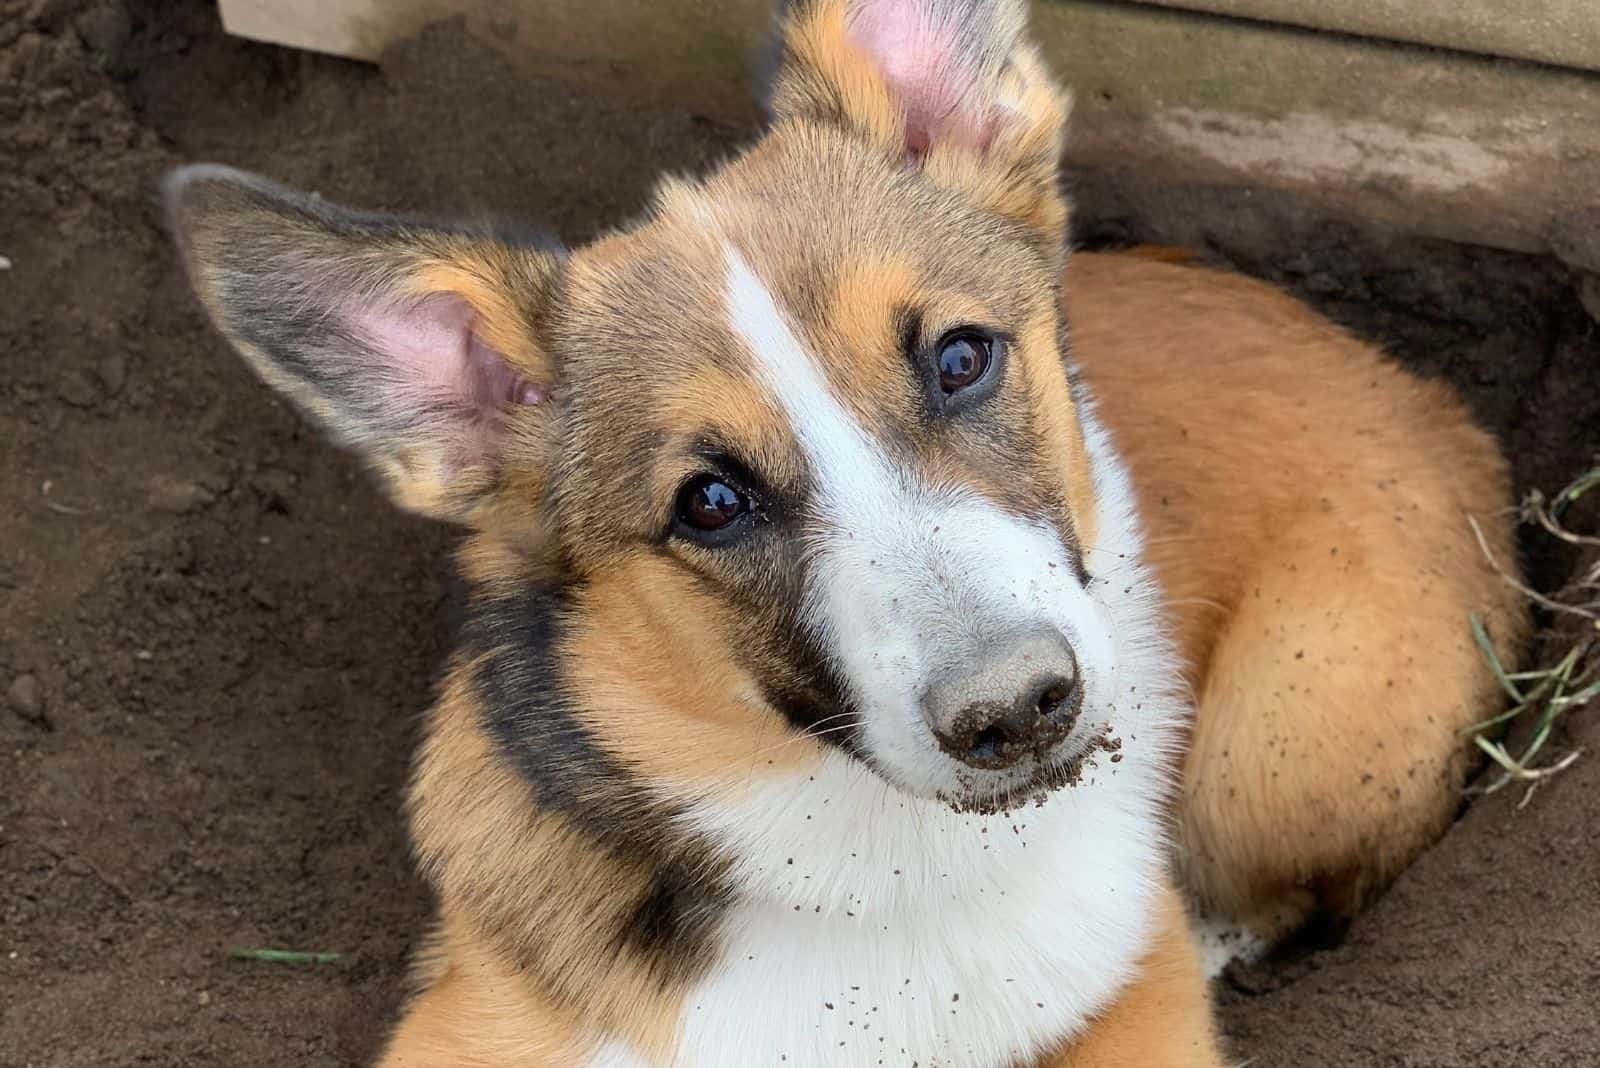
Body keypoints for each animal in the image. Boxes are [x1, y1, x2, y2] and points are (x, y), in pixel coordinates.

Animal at [162, 0, 1523, 1061]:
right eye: (710, 503)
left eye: (963, 358)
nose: (1018, 710)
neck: (885, 876)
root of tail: (1433, 399)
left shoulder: (1132, 1001)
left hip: (1278, 739)